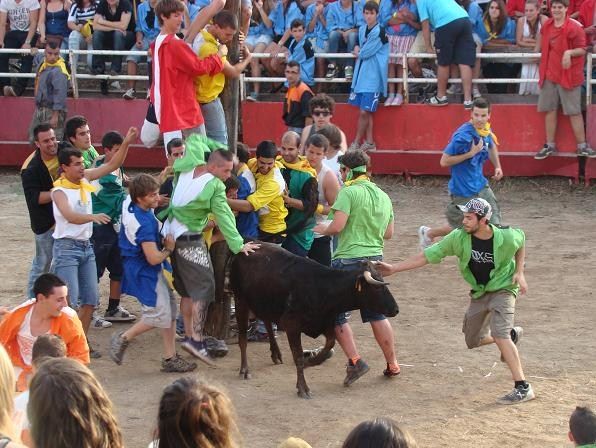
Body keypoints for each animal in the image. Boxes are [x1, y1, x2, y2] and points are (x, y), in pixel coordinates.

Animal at [230, 242, 398, 400]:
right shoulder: (292, 326)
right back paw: (245, 370)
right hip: (240, 301)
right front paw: (303, 388)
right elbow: (298, 357)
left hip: (264, 303)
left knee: (266, 323)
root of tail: (245, 248)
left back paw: (276, 354)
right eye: (377, 288)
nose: (396, 309)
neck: (322, 288)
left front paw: (310, 361)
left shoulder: (325, 323)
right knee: (243, 338)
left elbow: (329, 345)